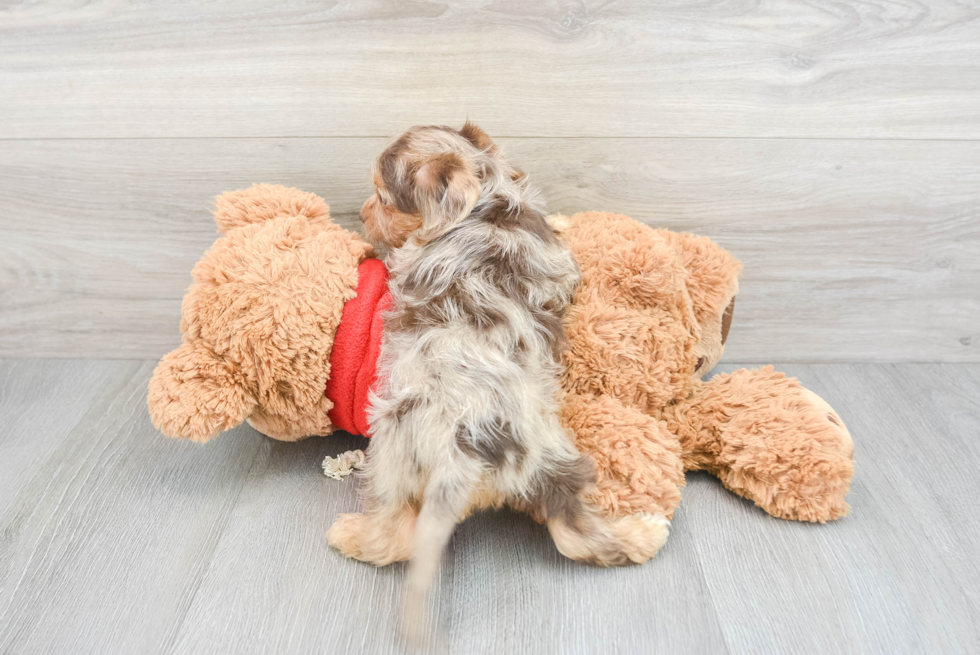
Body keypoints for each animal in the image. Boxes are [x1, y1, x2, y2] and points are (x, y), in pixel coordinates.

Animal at [330, 123, 668, 640]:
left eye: (383, 198)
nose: (363, 213)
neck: (486, 200)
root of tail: (462, 452)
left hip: (393, 458)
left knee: (395, 538)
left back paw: (349, 534)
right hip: (551, 459)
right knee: (575, 533)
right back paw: (644, 534)